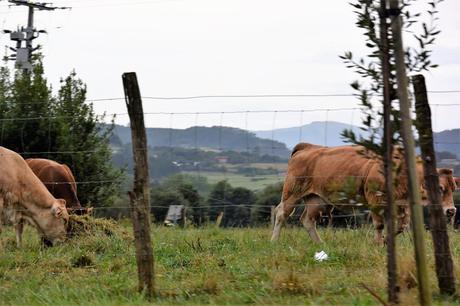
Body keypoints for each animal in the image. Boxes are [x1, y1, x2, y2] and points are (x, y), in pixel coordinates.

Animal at [272, 143, 458, 244]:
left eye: (454, 188)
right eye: (440, 188)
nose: (451, 210)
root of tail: (308, 147)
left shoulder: (400, 205)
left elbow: (400, 226)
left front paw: (386, 241)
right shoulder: (375, 200)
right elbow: (380, 225)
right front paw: (378, 243)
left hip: (317, 199)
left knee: (308, 220)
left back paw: (320, 244)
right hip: (292, 192)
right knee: (281, 213)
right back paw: (274, 241)